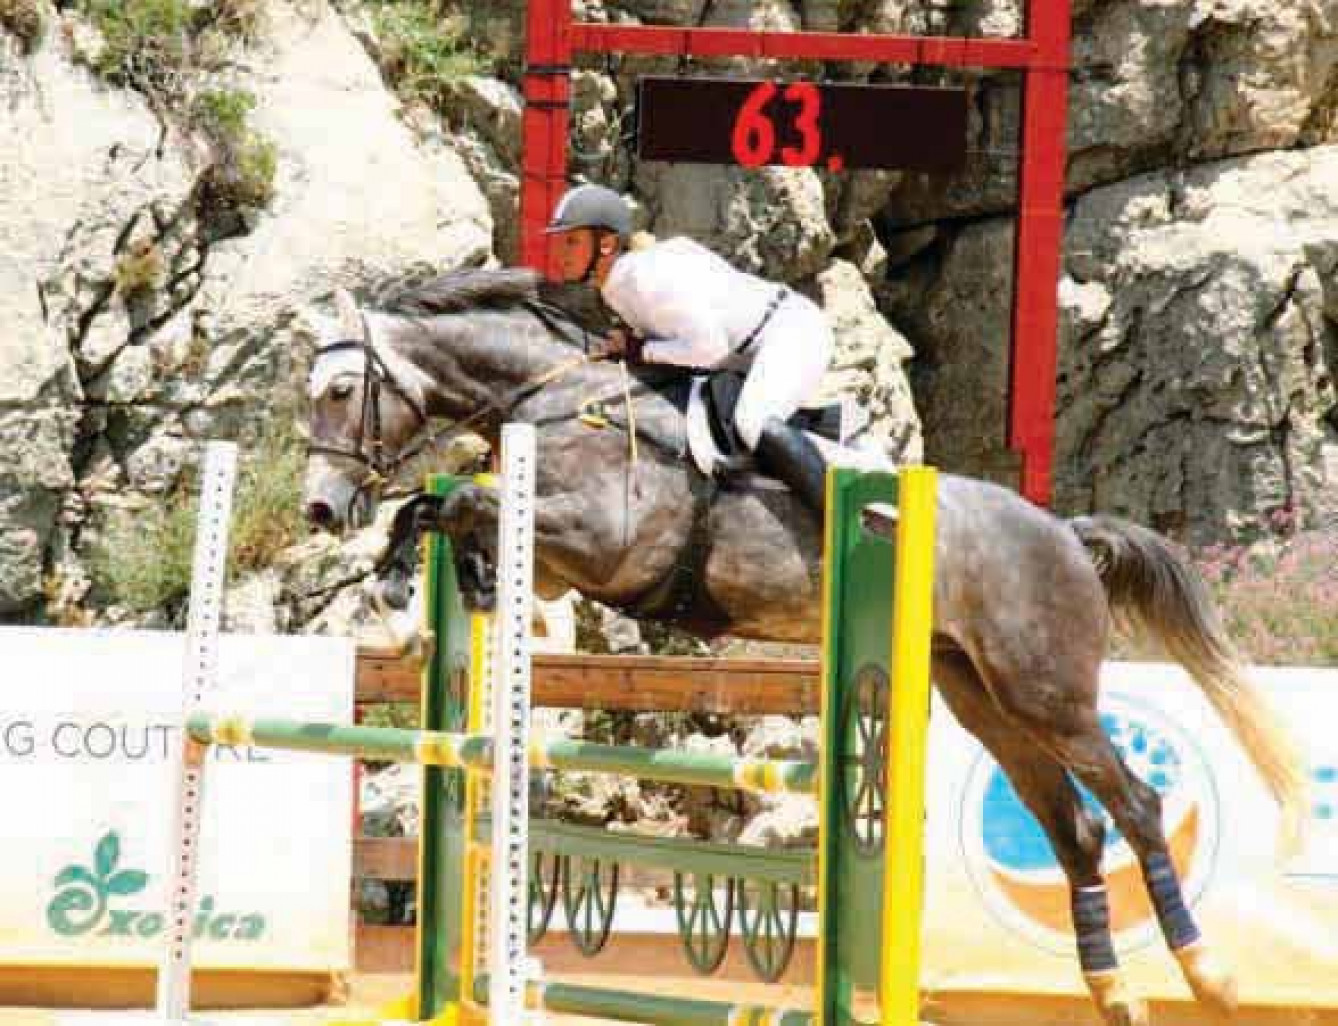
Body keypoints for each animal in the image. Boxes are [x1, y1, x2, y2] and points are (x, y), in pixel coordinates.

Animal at [301, 268, 1305, 1021]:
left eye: (342, 392)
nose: (318, 507)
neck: (562, 403)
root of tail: (1065, 533)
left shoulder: (603, 545)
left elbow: (468, 498)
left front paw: (405, 583)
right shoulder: (550, 568)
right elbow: (434, 507)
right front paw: (405, 588)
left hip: (1046, 691)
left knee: (1136, 805)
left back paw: (1208, 977)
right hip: (981, 698)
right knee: (1079, 830)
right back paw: (1113, 992)